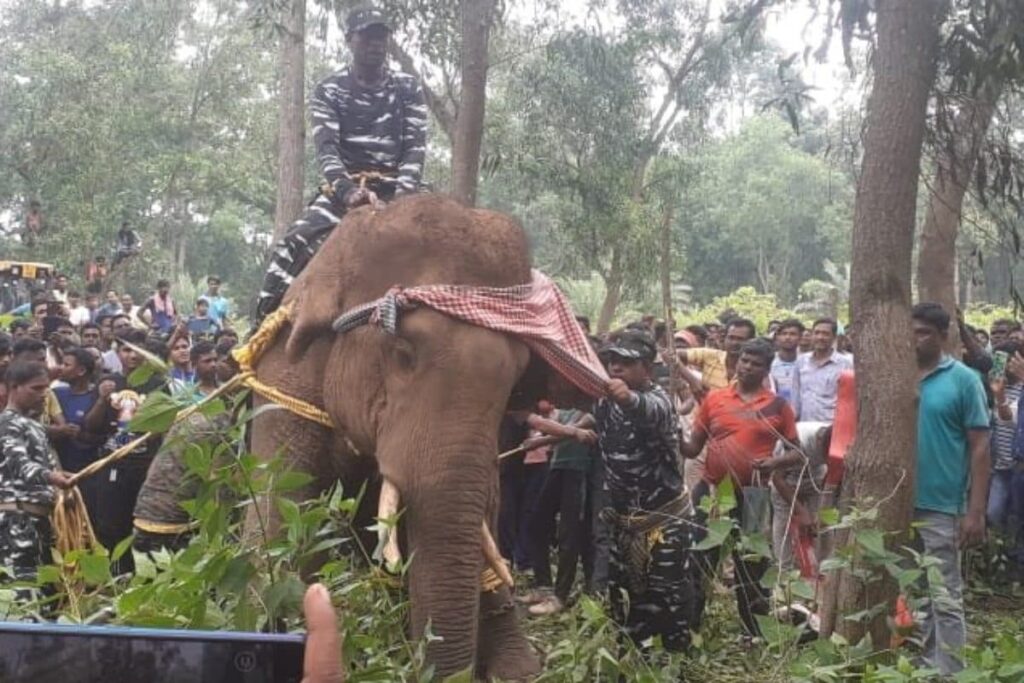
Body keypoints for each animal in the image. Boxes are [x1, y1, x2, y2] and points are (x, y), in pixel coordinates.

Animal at [246, 194, 577, 679]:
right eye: (403, 352)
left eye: (517, 380)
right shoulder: (286, 380)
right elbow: (280, 516)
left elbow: (483, 513)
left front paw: (519, 670)